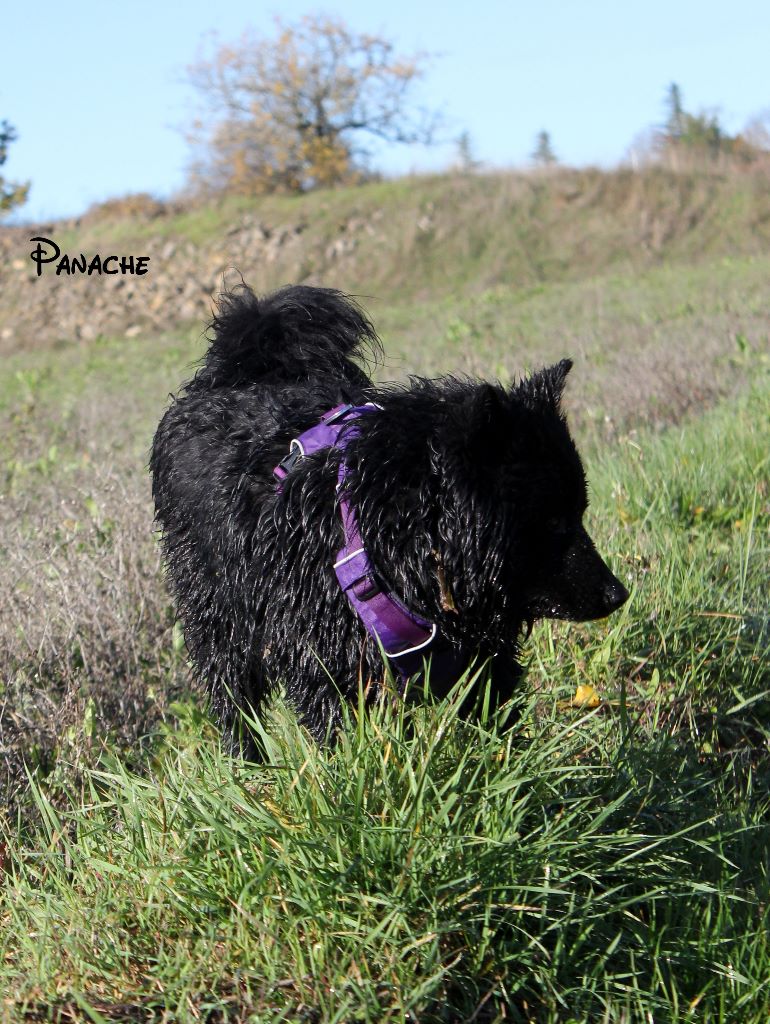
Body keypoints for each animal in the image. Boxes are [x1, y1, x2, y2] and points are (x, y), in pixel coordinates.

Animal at [150, 286, 626, 753]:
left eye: (579, 512)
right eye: (552, 521)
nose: (618, 594)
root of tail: (236, 374)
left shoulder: (483, 660)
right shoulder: (329, 673)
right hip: (217, 616)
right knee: (233, 700)